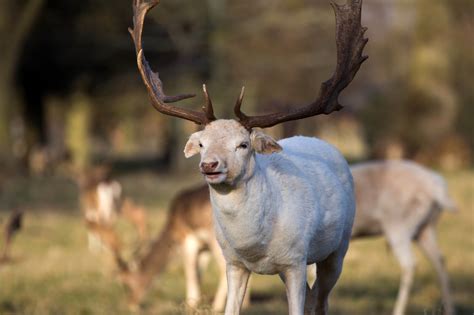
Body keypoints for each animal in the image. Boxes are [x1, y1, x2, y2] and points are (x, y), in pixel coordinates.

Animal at [131, 0, 370, 314]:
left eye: (243, 144)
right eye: (202, 143)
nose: (209, 165)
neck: (255, 246)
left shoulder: (295, 261)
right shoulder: (233, 262)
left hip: (338, 248)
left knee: (321, 299)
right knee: (314, 296)